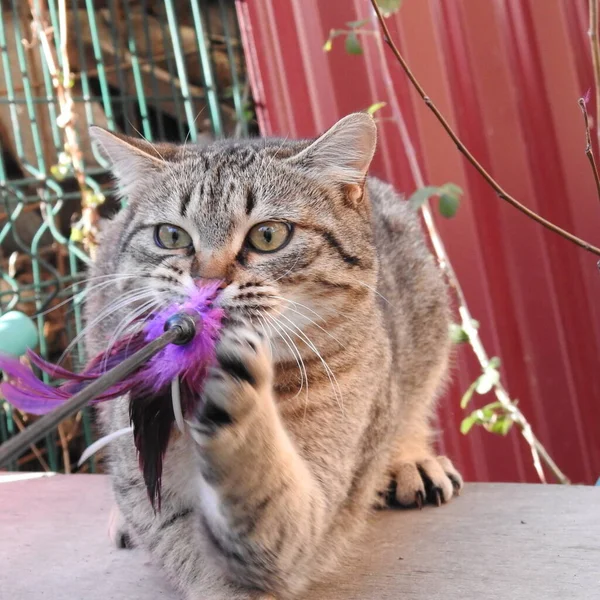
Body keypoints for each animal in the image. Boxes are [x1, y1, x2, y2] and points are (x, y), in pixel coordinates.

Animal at [84, 113, 462, 600]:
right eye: (170, 235)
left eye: (268, 235)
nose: (206, 285)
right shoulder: (153, 490)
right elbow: (188, 545)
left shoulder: (320, 499)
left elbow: (265, 519)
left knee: (411, 405)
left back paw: (411, 458)